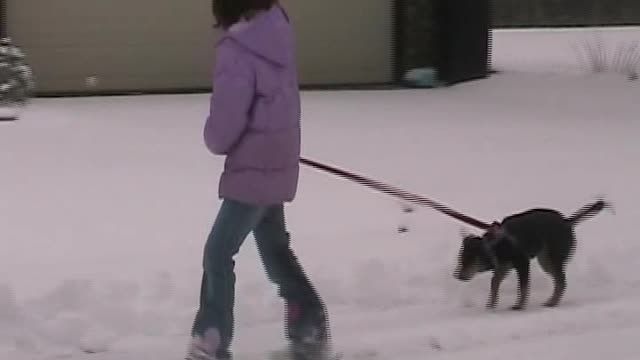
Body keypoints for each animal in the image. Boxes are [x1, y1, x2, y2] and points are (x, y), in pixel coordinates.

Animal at [456, 198, 608, 310]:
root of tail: (567, 222)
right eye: (460, 260)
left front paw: (519, 306)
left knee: (561, 282)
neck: (495, 246)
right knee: (560, 281)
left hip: (551, 258)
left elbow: (523, 287)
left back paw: (552, 302)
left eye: (469, 260)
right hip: (545, 259)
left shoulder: (522, 263)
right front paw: (491, 305)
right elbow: (494, 284)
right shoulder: (503, 267)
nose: (458, 276)